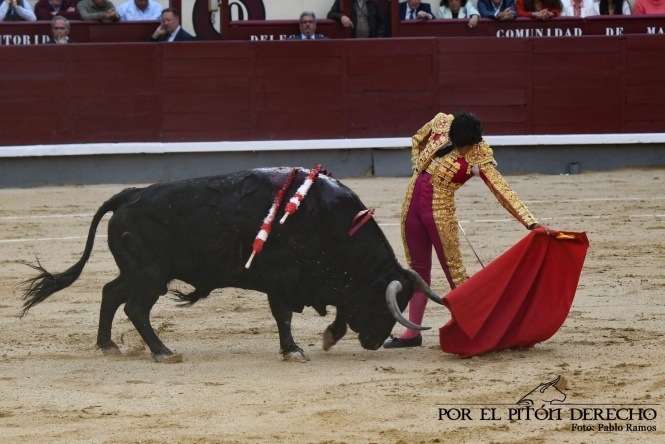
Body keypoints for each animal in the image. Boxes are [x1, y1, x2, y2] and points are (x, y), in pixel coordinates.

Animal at [19, 166, 440, 360]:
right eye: (385, 305)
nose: (374, 343)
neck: (330, 221)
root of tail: (129, 196)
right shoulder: (282, 278)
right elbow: (283, 315)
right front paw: (293, 349)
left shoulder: (319, 280)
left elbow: (337, 306)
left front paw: (328, 336)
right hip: (149, 275)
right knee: (135, 307)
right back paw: (163, 351)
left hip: (139, 272)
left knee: (110, 293)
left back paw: (107, 345)